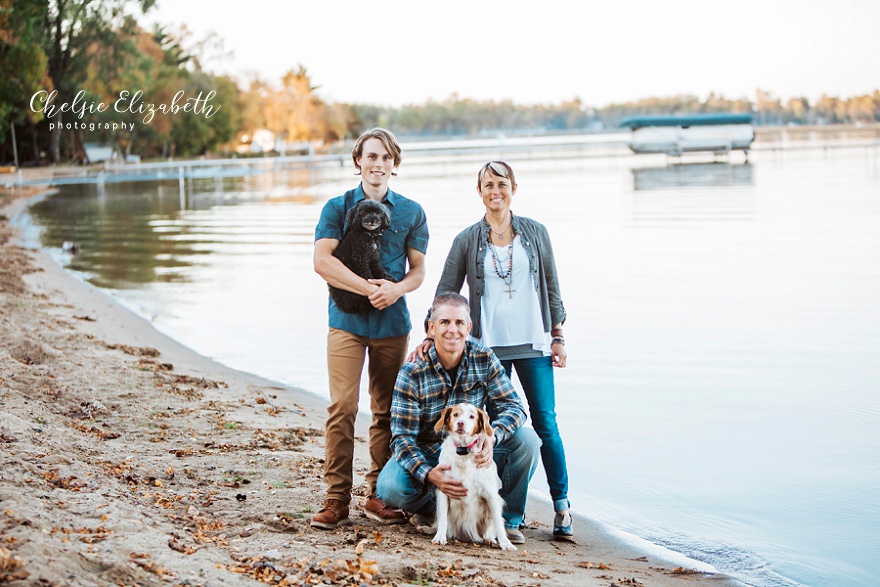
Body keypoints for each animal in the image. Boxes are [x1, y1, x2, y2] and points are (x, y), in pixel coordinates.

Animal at [432, 404, 516, 552]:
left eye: (472, 416)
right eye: (455, 414)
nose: (460, 423)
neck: (463, 451)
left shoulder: (491, 495)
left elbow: (498, 523)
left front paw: (506, 543)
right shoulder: (444, 489)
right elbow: (442, 519)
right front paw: (440, 537)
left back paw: (490, 539)